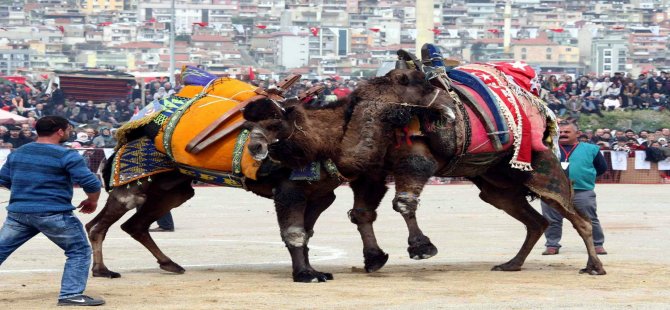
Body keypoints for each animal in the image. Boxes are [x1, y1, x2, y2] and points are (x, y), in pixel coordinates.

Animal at [243, 68, 608, 276]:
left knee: (576, 216)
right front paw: (379, 258)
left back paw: (594, 266)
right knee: (537, 221)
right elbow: (366, 211)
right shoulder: (374, 172)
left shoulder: (415, 159)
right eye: (251, 123)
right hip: (496, 185)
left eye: (274, 123)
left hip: (540, 170)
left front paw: (421, 248)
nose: (255, 148)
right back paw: (511, 264)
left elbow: (402, 203)